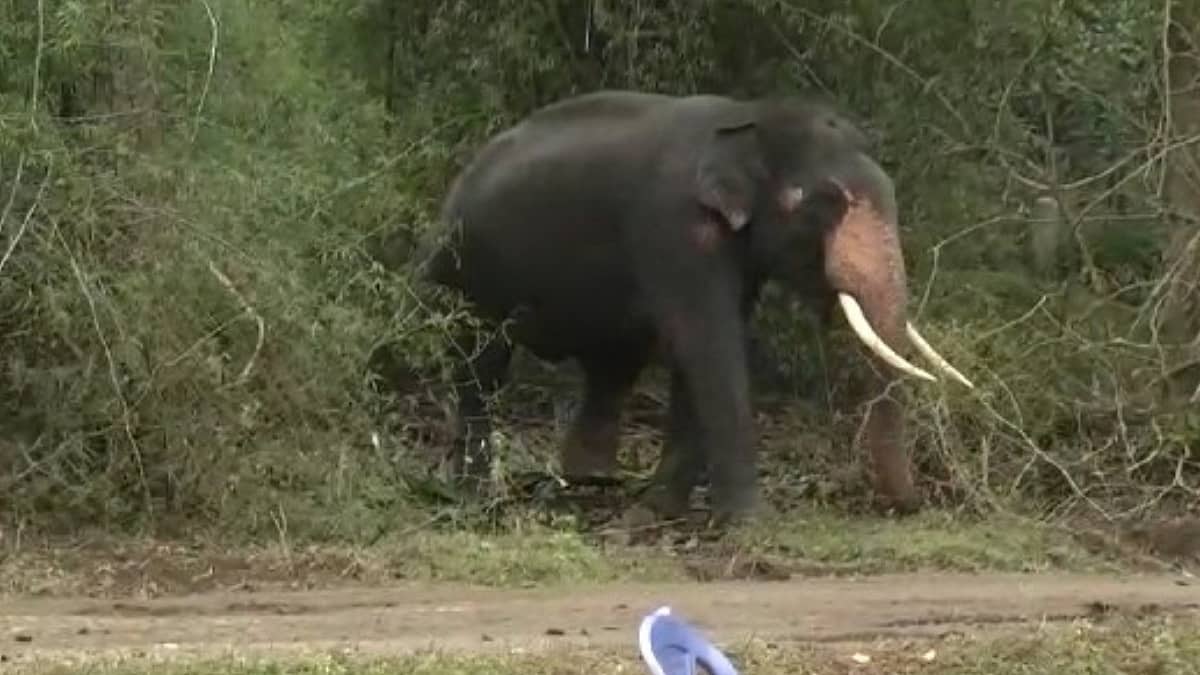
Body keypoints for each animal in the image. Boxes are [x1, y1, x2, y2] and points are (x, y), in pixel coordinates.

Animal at [413, 89, 976, 523]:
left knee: (611, 366)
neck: (751, 118)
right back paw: (475, 495)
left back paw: (588, 481)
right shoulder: (674, 228)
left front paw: (661, 510)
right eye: (822, 204)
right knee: (479, 365)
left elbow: (697, 352)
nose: (910, 506)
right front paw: (750, 524)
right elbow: (709, 344)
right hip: (461, 270)